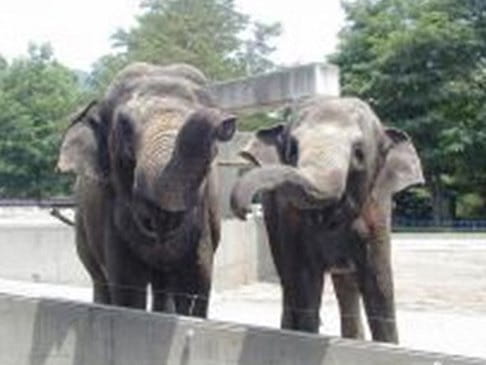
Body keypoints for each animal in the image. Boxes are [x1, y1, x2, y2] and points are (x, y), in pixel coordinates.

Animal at [58, 62, 236, 316]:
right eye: (124, 125)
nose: (228, 121)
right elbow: (129, 288)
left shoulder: (203, 218)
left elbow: (195, 283)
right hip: (82, 225)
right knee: (99, 278)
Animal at [230, 96, 424, 342]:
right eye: (293, 150)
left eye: (359, 152)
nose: (245, 210)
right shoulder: (289, 218)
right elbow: (305, 282)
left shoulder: (378, 207)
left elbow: (379, 285)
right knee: (289, 282)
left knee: (346, 285)